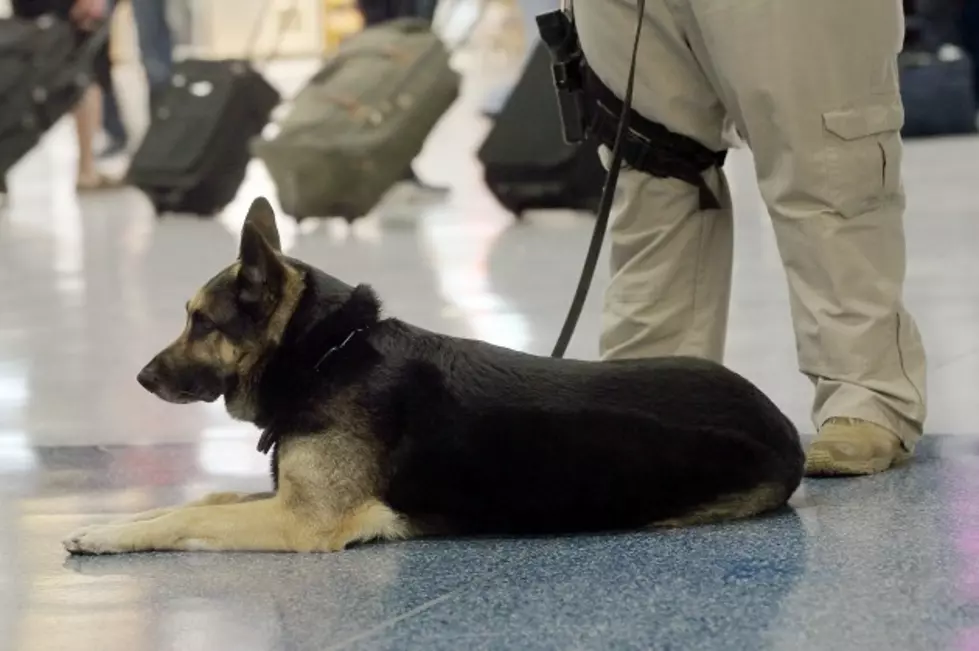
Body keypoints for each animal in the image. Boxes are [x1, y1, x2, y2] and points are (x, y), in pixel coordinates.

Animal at [65, 197, 808, 556]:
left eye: (199, 322)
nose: (140, 377)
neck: (326, 356)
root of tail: (786, 425)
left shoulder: (300, 521)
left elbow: (189, 516)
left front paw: (107, 536)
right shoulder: (282, 500)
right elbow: (201, 499)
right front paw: (107, 521)